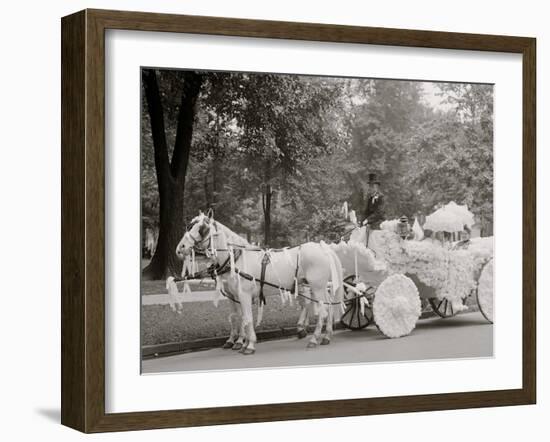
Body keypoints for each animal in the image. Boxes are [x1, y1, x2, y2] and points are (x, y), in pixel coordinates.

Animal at [177, 212, 344, 354]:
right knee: (326, 306)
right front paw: (239, 342)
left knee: (322, 310)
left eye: (202, 229)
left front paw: (248, 344)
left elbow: (247, 318)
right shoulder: (234, 296)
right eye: (189, 226)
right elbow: (237, 317)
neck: (236, 258)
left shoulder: (243, 294)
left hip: (317, 287)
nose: (180, 248)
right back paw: (325, 336)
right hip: (314, 287)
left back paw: (314, 339)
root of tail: (325, 248)